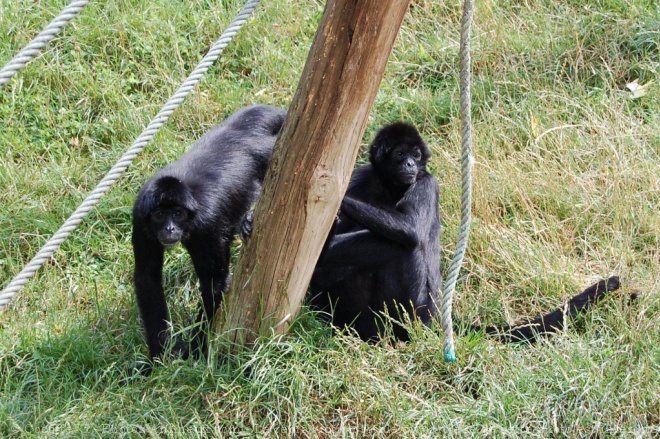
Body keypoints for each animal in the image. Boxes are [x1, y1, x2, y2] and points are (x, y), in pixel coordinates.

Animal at [131, 105, 286, 360]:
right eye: (160, 215)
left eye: (178, 214)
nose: (169, 228)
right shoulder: (141, 216)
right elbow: (147, 276)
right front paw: (159, 356)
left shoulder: (206, 225)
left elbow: (213, 282)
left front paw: (196, 349)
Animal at [310, 121, 620, 344]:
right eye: (400, 154)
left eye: (416, 155)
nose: (410, 164)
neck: (390, 188)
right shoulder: (363, 177)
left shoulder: (426, 182)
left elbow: (410, 229)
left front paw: (335, 200)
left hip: (418, 311)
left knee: (401, 246)